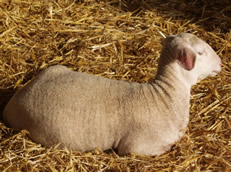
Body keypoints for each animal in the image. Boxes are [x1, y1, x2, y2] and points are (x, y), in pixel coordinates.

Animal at [2, 32, 221, 156]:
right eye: (201, 52)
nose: (220, 63)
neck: (165, 96)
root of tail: (16, 99)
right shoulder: (136, 147)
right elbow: (162, 149)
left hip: (54, 68)